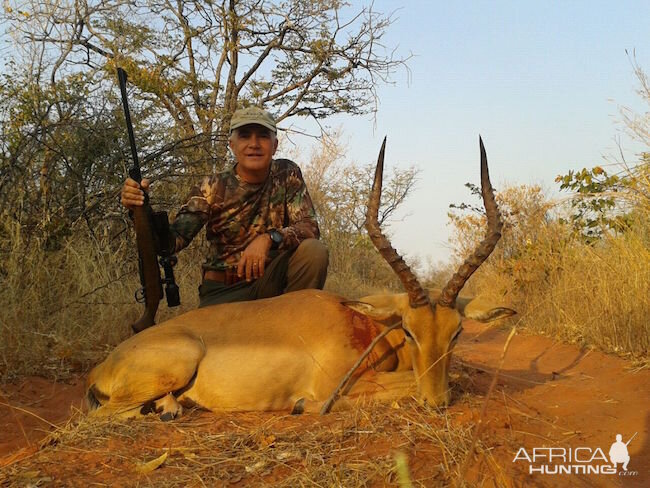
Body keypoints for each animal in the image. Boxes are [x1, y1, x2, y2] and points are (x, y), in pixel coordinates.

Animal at [86, 137, 512, 420]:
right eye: (409, 330)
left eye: (456, 332)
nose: (436, 402)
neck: (362, 326)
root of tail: (103, 366)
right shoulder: (335, 388)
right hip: (178, 361)